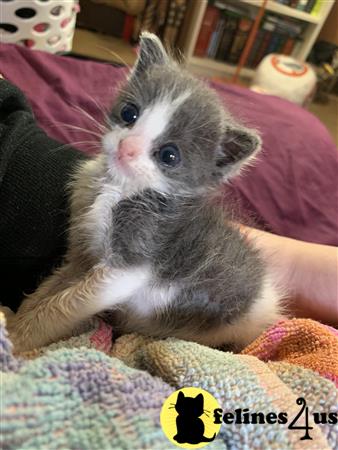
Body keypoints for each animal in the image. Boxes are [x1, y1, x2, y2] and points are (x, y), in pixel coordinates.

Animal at [7, 33, 282, 354]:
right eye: (129, 113)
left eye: (169, 156)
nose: (126, 148)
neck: (118, 189)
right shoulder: (83, 252)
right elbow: (52, 287)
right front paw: (19, 319)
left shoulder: (134, 261)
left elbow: (64, 305)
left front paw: (17, 340)